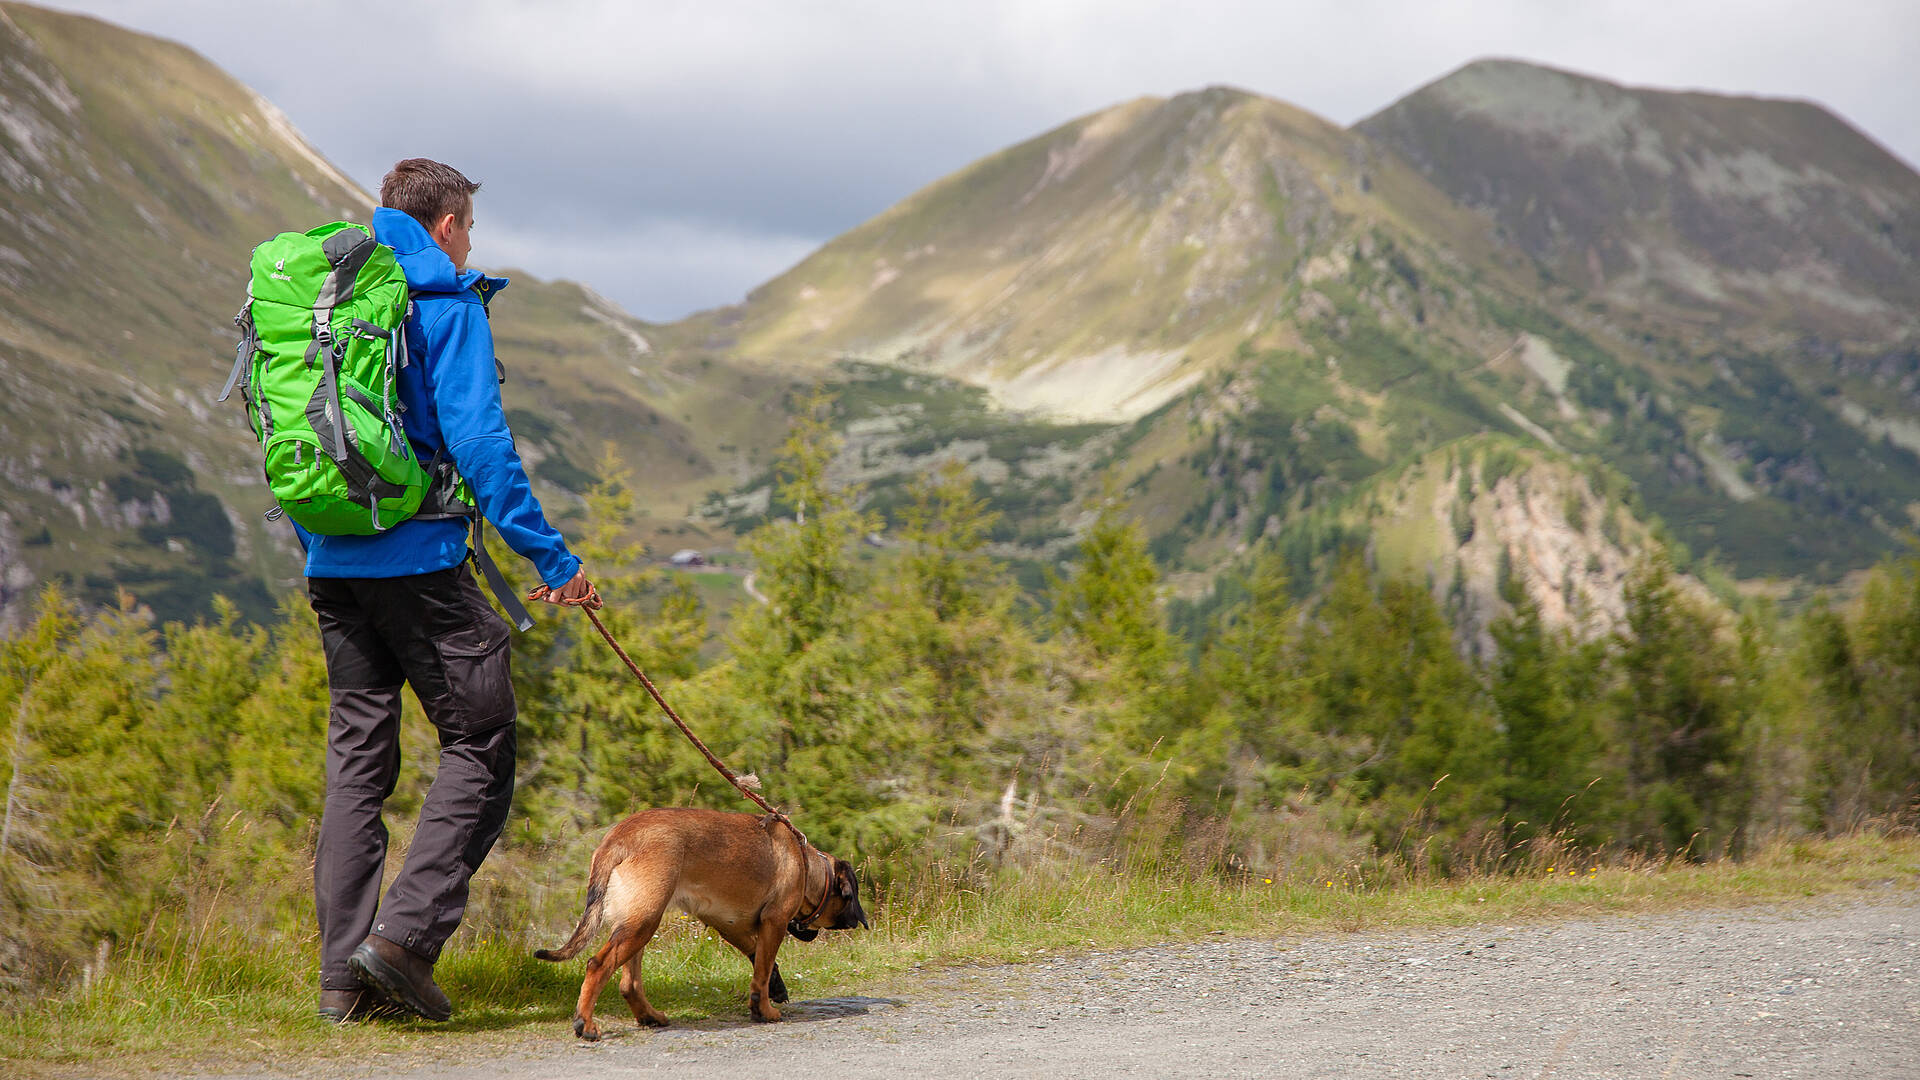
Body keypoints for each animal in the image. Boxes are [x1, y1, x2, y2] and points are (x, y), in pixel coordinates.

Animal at [537, 807, 875, 1037]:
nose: (855, 922)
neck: (807, 865)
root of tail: (617, 838)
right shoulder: (775, 922)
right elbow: (762, 970)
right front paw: (765, 1009)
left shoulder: (726, 922)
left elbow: (759, 960)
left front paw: (774, 989)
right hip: (641, 922)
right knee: (597, 965)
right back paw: (586, 1023)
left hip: (637, 923)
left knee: (629, 983)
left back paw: (650, 1017)